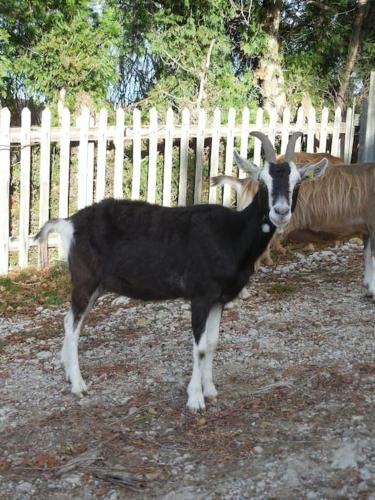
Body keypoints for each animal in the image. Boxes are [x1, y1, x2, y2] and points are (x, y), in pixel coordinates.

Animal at [36, 132, 328, 410]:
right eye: (263, 181)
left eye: (297, 182)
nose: (280, 212)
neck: (232, 235)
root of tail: (68, 223)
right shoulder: (200, 296)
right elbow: (199, 347)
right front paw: (195, 399)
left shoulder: (219, 300)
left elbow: (212, 343)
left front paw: (210, 390)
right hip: (84, 281)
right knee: (73, 327)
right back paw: (78, 385)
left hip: (96, 286)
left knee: (69, 321)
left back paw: (68, 374)